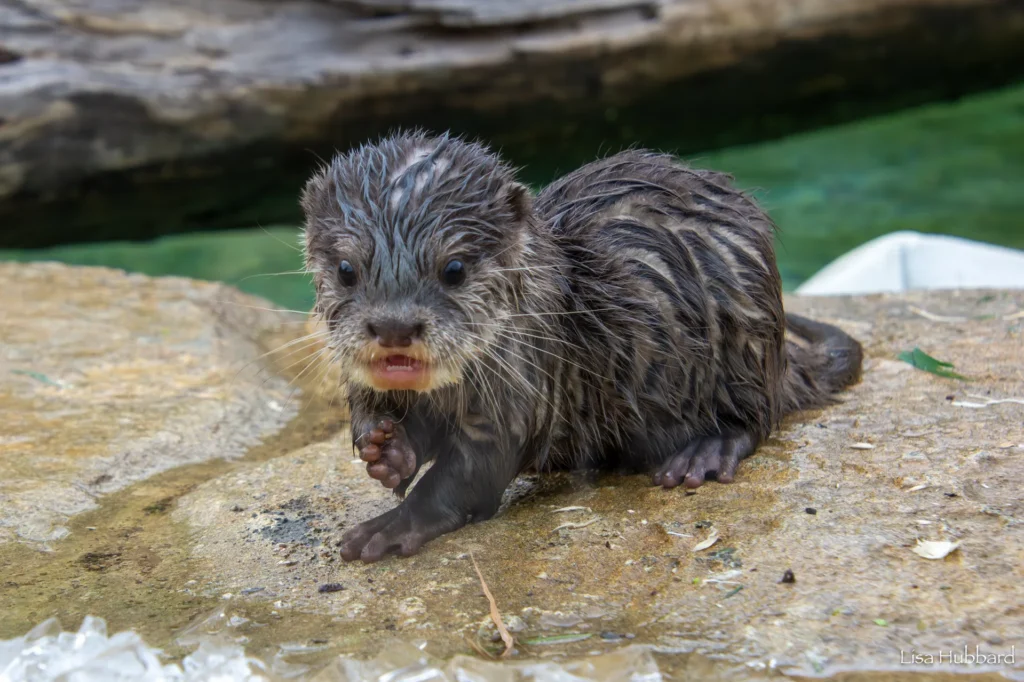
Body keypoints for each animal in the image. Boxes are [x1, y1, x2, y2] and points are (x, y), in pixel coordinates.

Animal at [301, 131, 862, 563]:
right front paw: (385, 449)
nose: (394, 328)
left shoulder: (528, 386)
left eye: (453, 269)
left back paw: (703, 452)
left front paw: (392, 525)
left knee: (758, 418)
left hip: (743, 338)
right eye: (346, 269)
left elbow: (468, 475)